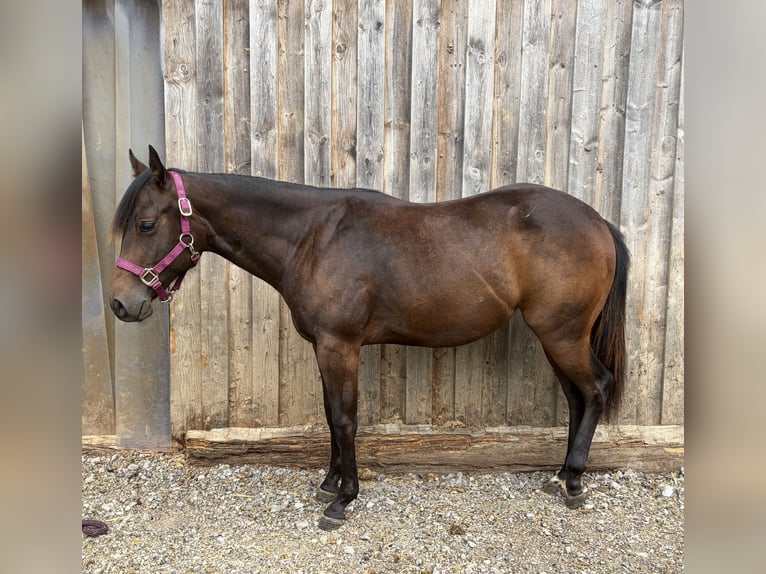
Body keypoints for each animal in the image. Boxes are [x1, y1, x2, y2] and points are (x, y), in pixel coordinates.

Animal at [109, 146, 629, 530]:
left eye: (146, 224)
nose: (120, 304)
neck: (313, 238)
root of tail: (597, 222)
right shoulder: (323, 347)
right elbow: (329, 417)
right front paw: (329, 481)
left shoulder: (339, 347)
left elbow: (344, 420)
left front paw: (342, 500)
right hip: (559, 339)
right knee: (577, 398)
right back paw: (560, 476)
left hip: (562, 335)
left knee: (596, 389)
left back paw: (575, 482)